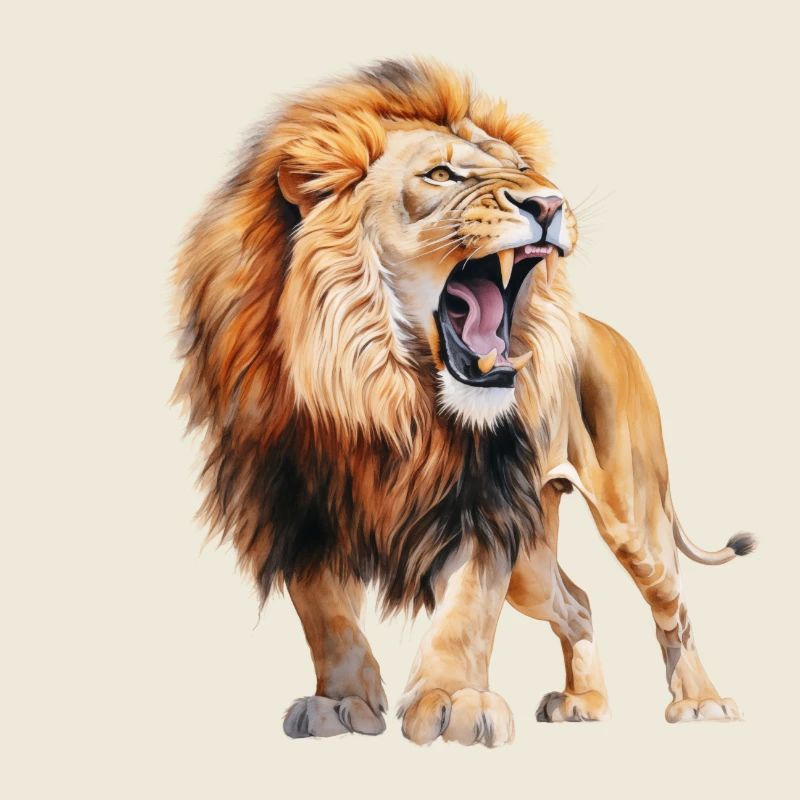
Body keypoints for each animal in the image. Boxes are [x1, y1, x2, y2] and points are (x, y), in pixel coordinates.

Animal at [174, 59, 756, 745]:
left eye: (523, 169)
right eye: (441, 174)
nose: (549, 202)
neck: (385, 397)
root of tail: (604, 329)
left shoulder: (487, 501)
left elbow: (468, 608)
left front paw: (454, 700)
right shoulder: (294, 504)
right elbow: (326, 616)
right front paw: (341, 704)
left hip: (632, 518)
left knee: (675, 606)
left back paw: (701, 702)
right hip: (535, 559)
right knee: (577, 602)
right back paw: (583, 701)